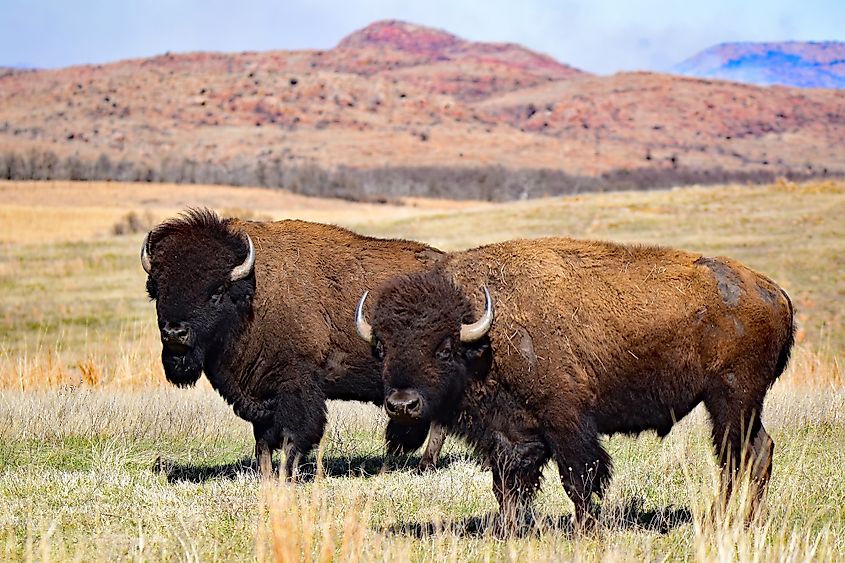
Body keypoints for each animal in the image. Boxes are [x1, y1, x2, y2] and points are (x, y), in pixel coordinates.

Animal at [140, 209, 448, 478]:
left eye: (216, 291)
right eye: (158, 289)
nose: (175, 333)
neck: (253, 295)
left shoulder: (296, 387)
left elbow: (294, 437)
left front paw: (287, 475)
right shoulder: (259, 394)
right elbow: (262, 442)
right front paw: (266, 476)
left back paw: (424, 466)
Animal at [354, 237, 792, 532]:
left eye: (444, 347)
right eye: (382, 346)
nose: (403, 404)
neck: (485, 335)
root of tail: (775, 293)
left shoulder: (566, 421)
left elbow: (579, 477)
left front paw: (585, 530)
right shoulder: (507, 433)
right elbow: (506, 484)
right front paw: (509, 531)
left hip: (731, 400)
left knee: (738, 456)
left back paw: (723, 520)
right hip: (740, 405)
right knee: (758, 452)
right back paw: (746, 521)